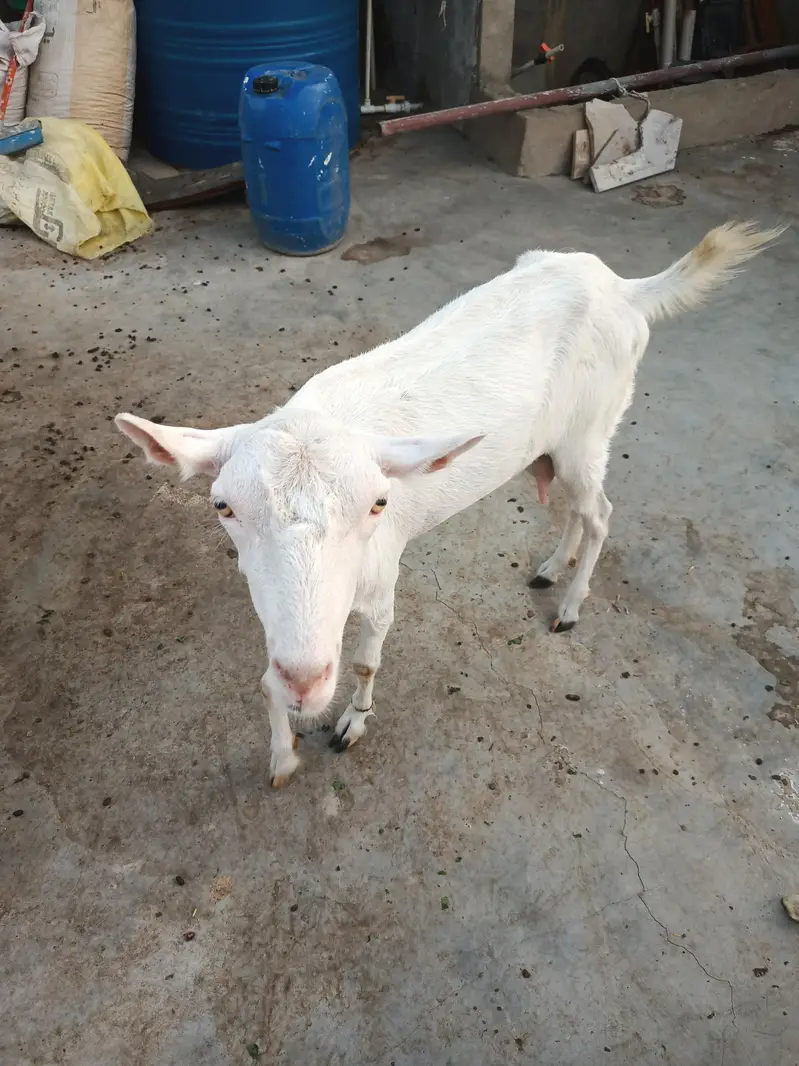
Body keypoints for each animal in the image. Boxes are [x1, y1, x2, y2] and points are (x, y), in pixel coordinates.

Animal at [116, 221, 781, 787]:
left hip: (591, 430)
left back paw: (570, 605)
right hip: (553, 443)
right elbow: (264, 678)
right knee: (571, 505)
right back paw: (549, 570)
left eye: (379, 504)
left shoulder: (380, 580)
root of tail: (623, 287)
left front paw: (351, 723)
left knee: (600, 513)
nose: (307, 682)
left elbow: (366, 662)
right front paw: (282, 755)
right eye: (223, 507)